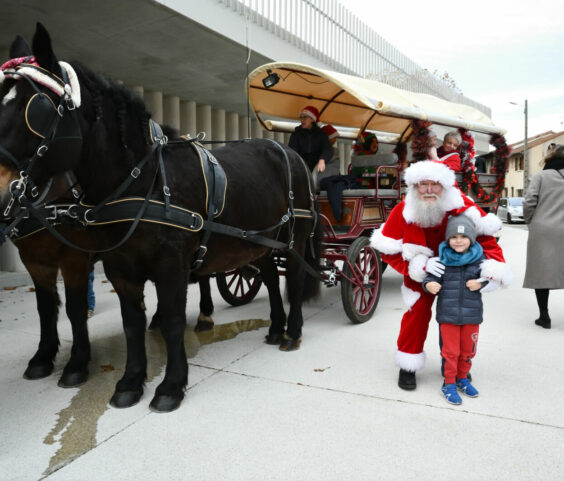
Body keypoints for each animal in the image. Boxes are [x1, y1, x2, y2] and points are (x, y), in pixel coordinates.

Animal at [0, 23, 322, 412]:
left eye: (35, 108)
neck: (145, 180)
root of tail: (286, 151)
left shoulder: (165, 265)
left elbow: (169, 321)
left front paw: (170, 385)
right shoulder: (116, 267)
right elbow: (128, 323)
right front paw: (129, 381)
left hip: (295, 238)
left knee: (294, 279)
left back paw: (293, 331)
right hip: (256, 240)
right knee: (272, 280)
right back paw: (275, 328)